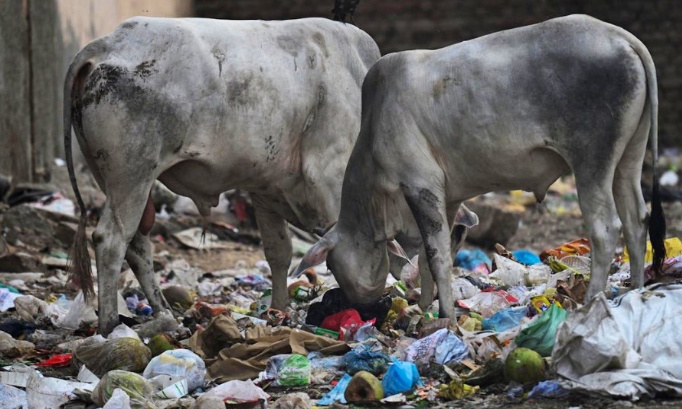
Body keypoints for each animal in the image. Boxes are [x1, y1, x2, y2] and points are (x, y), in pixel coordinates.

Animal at [294, 15, 664, 316]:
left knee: (606, 228)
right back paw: (635, 290)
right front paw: (425, 309)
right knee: (636, 220)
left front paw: (446, 316)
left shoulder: (419, 184)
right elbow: (430, 256)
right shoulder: (446, 197)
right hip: (628, 158)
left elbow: (438, 256)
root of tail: (622, 37)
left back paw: (592, 300)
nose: (356, 304)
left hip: (592, 162)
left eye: (331, 265)